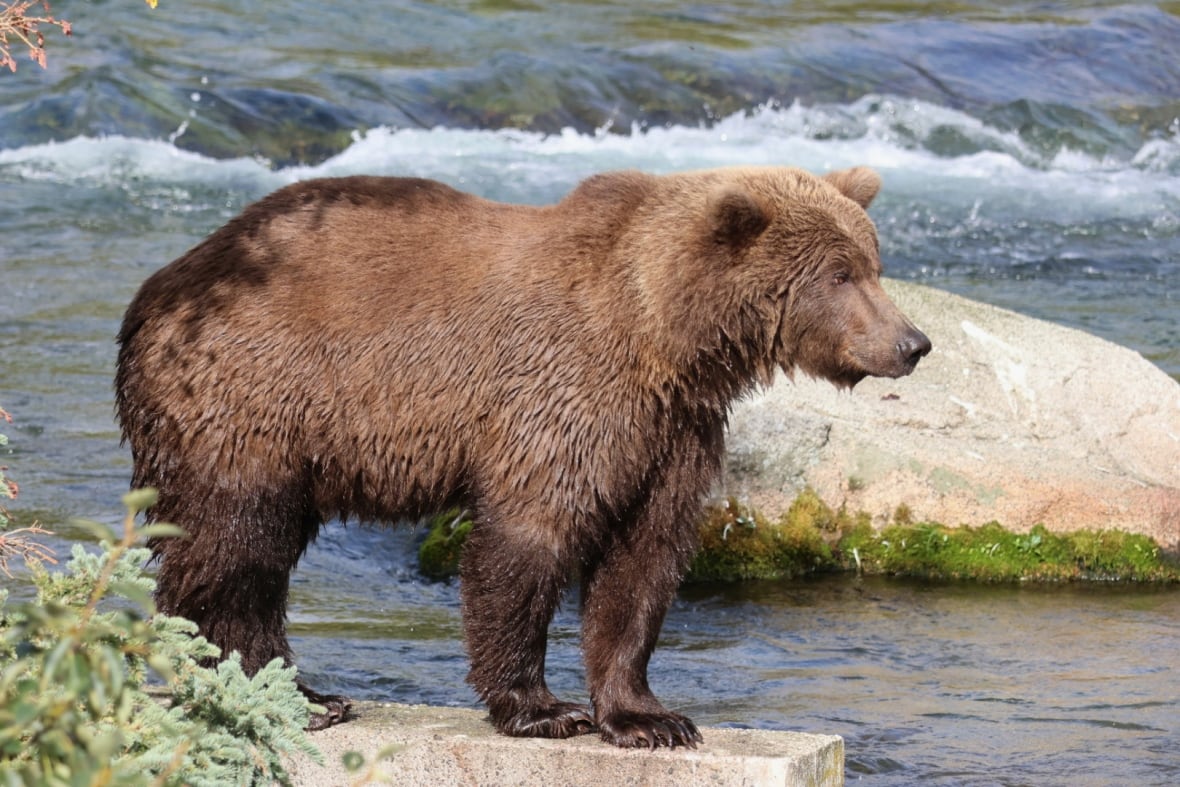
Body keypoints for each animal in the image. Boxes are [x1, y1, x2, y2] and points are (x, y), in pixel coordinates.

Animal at [115, 165, 930, 748]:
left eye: (874, 262)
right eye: (839, 273)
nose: (913, 342)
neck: (666, 340)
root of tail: (157, 290)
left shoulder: (670, 433)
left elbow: (644, 564)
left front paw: (651, 718)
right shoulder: (564, 397)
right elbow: (528, 541)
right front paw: (543, 708)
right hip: (253, 398)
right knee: (238, 544)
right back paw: (291, 694)